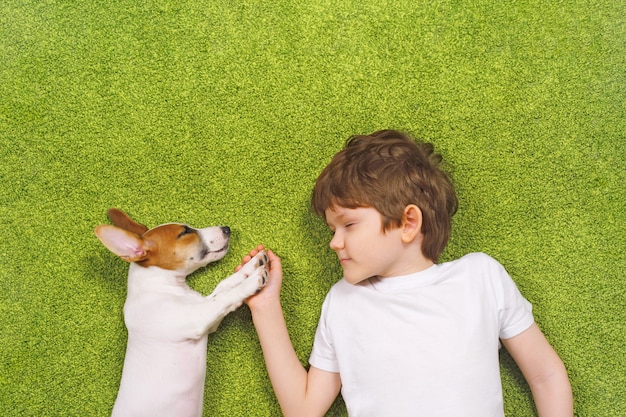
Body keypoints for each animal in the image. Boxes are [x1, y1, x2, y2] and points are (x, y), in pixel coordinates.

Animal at [95, 208, 268, 416]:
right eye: (185, 232)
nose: (226, 228)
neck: (159, 287)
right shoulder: (198, 318)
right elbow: (226, 297)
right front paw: (252, 281)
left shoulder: (205, 313)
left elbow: (224, 286)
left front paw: (251, 265)